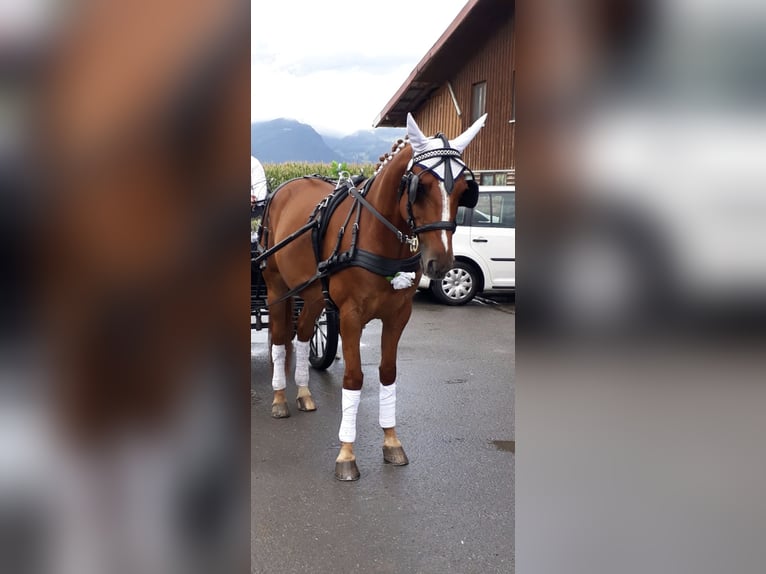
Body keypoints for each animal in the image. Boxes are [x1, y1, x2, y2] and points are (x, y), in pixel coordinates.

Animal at [258, 112, 487, 481]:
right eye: (421, 186)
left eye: (466, 190)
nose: (440, 263)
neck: (373, 234)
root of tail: (286, 187)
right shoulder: (351, 317)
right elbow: (354, 378)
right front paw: (346, 453)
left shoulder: (398, 315)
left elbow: (388, 373)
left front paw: (391, 441)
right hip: (278, 288)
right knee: (280, 339)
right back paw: (280, 398)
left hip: (314, 294)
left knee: (304, 334)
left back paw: (304, 392)